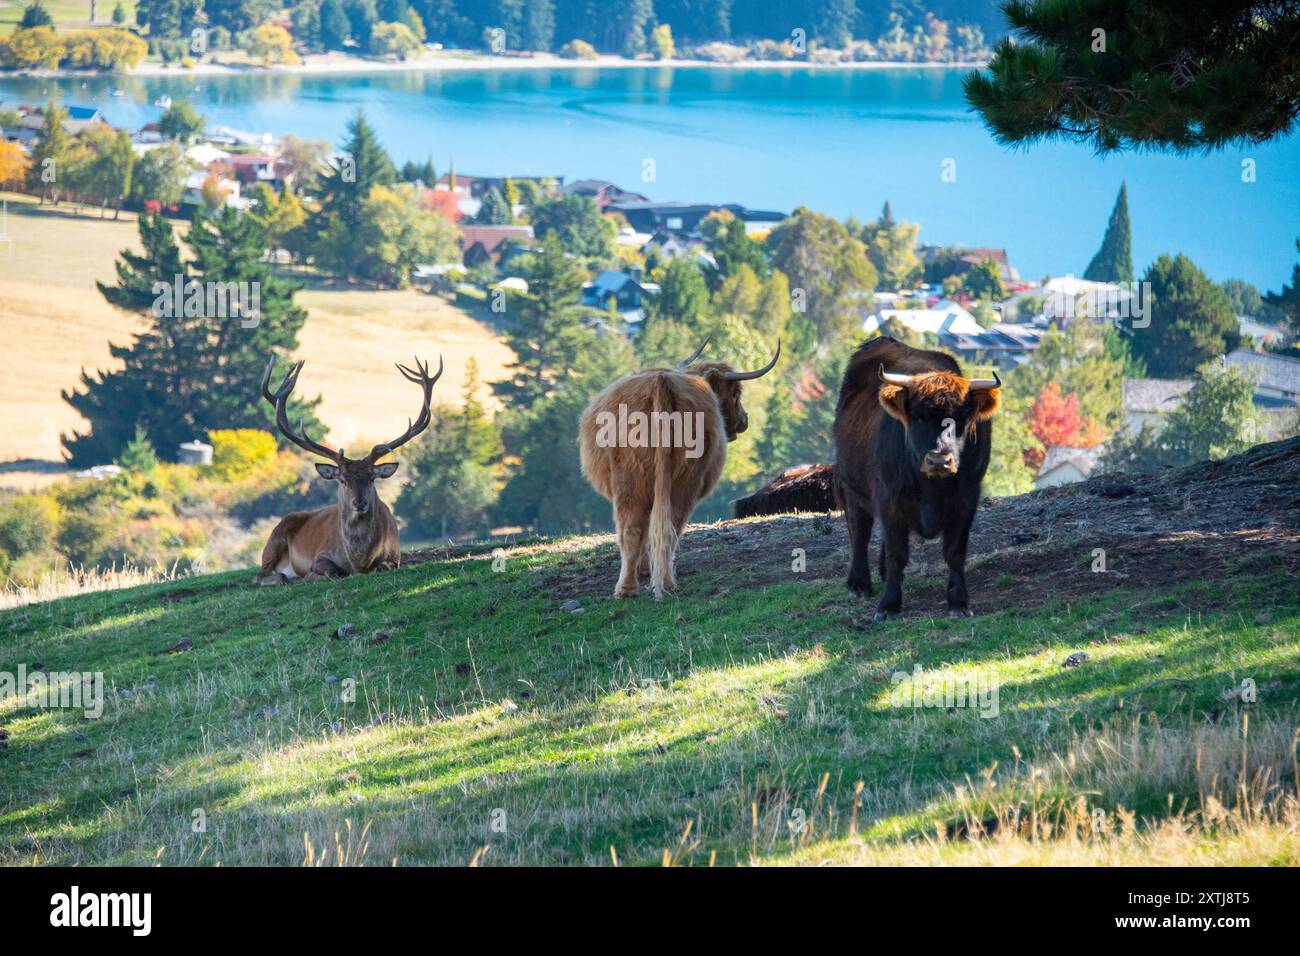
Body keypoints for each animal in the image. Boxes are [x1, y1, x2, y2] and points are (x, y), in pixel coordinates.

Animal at [254, 353, 442, 585]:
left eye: (372, 478)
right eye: (342, 479)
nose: (359, 502)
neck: (359, 561)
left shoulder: (395, 556)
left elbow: (382, 567)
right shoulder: (320, 555)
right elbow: (331, 571)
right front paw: (312, 576)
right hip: (274, 538)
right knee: (262, 575)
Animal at [579, 338, 781, 599]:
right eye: (735, 394)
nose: (744, 420)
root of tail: (661, 382)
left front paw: (645, 569)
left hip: (635, 479)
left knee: (637, 529)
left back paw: (633, 588)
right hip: (682, 478)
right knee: (661, 526)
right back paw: (653, 583)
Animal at [833, 337, 1000, 622]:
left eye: (961, 418)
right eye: (919, 416)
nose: (939, 460)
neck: (931, 488)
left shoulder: (966, 498)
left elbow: (955, 552)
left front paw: (959, 601)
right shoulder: (889, 497)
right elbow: (897, 552)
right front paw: (888, 604)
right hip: (852, 487)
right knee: (860, 532)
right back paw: (859, 583)